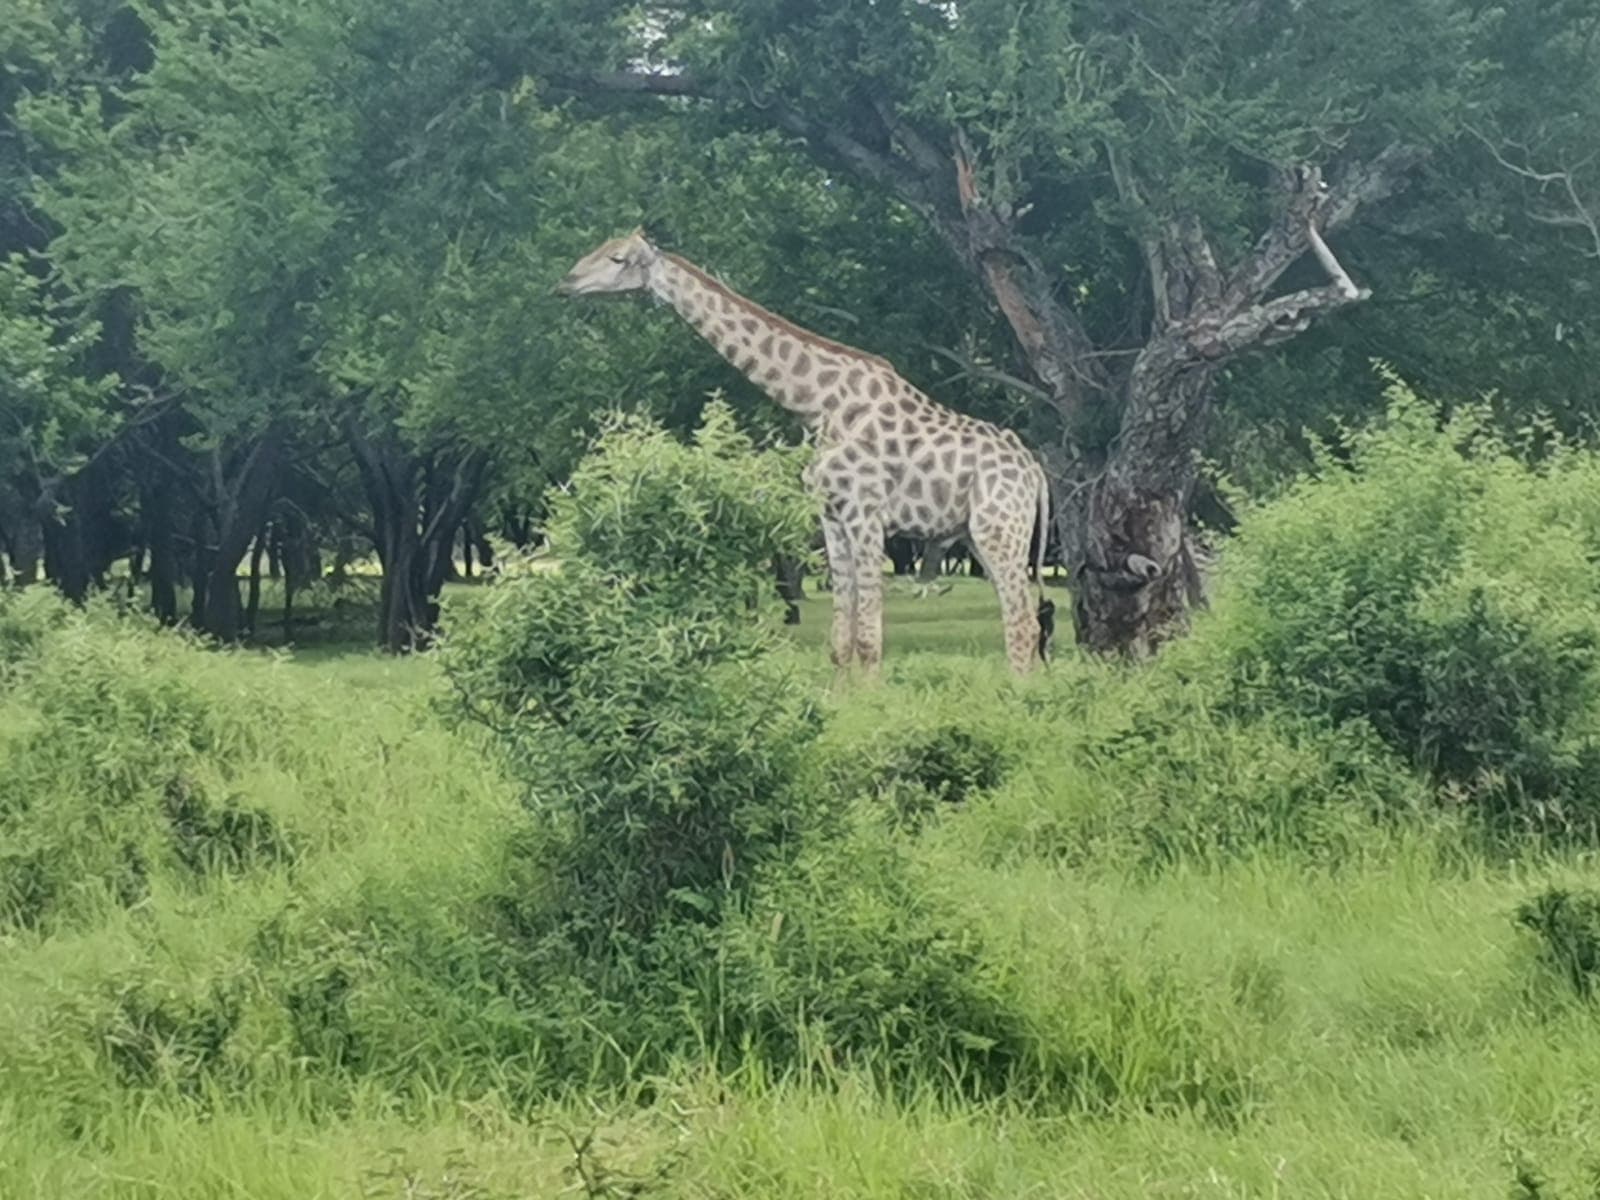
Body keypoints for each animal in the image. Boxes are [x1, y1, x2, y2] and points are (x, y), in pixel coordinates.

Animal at [555, 230, 1051, 675]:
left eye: (617, 258)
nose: (565, 283)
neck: (816, 404)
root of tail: (1037, 475)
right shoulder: (832, 516)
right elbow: (841, 641)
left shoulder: (866, 514)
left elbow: (869, 639)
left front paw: (874, 708)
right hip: (978, 535)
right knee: (1022, 620)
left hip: (999, 529)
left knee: (1022, 624)